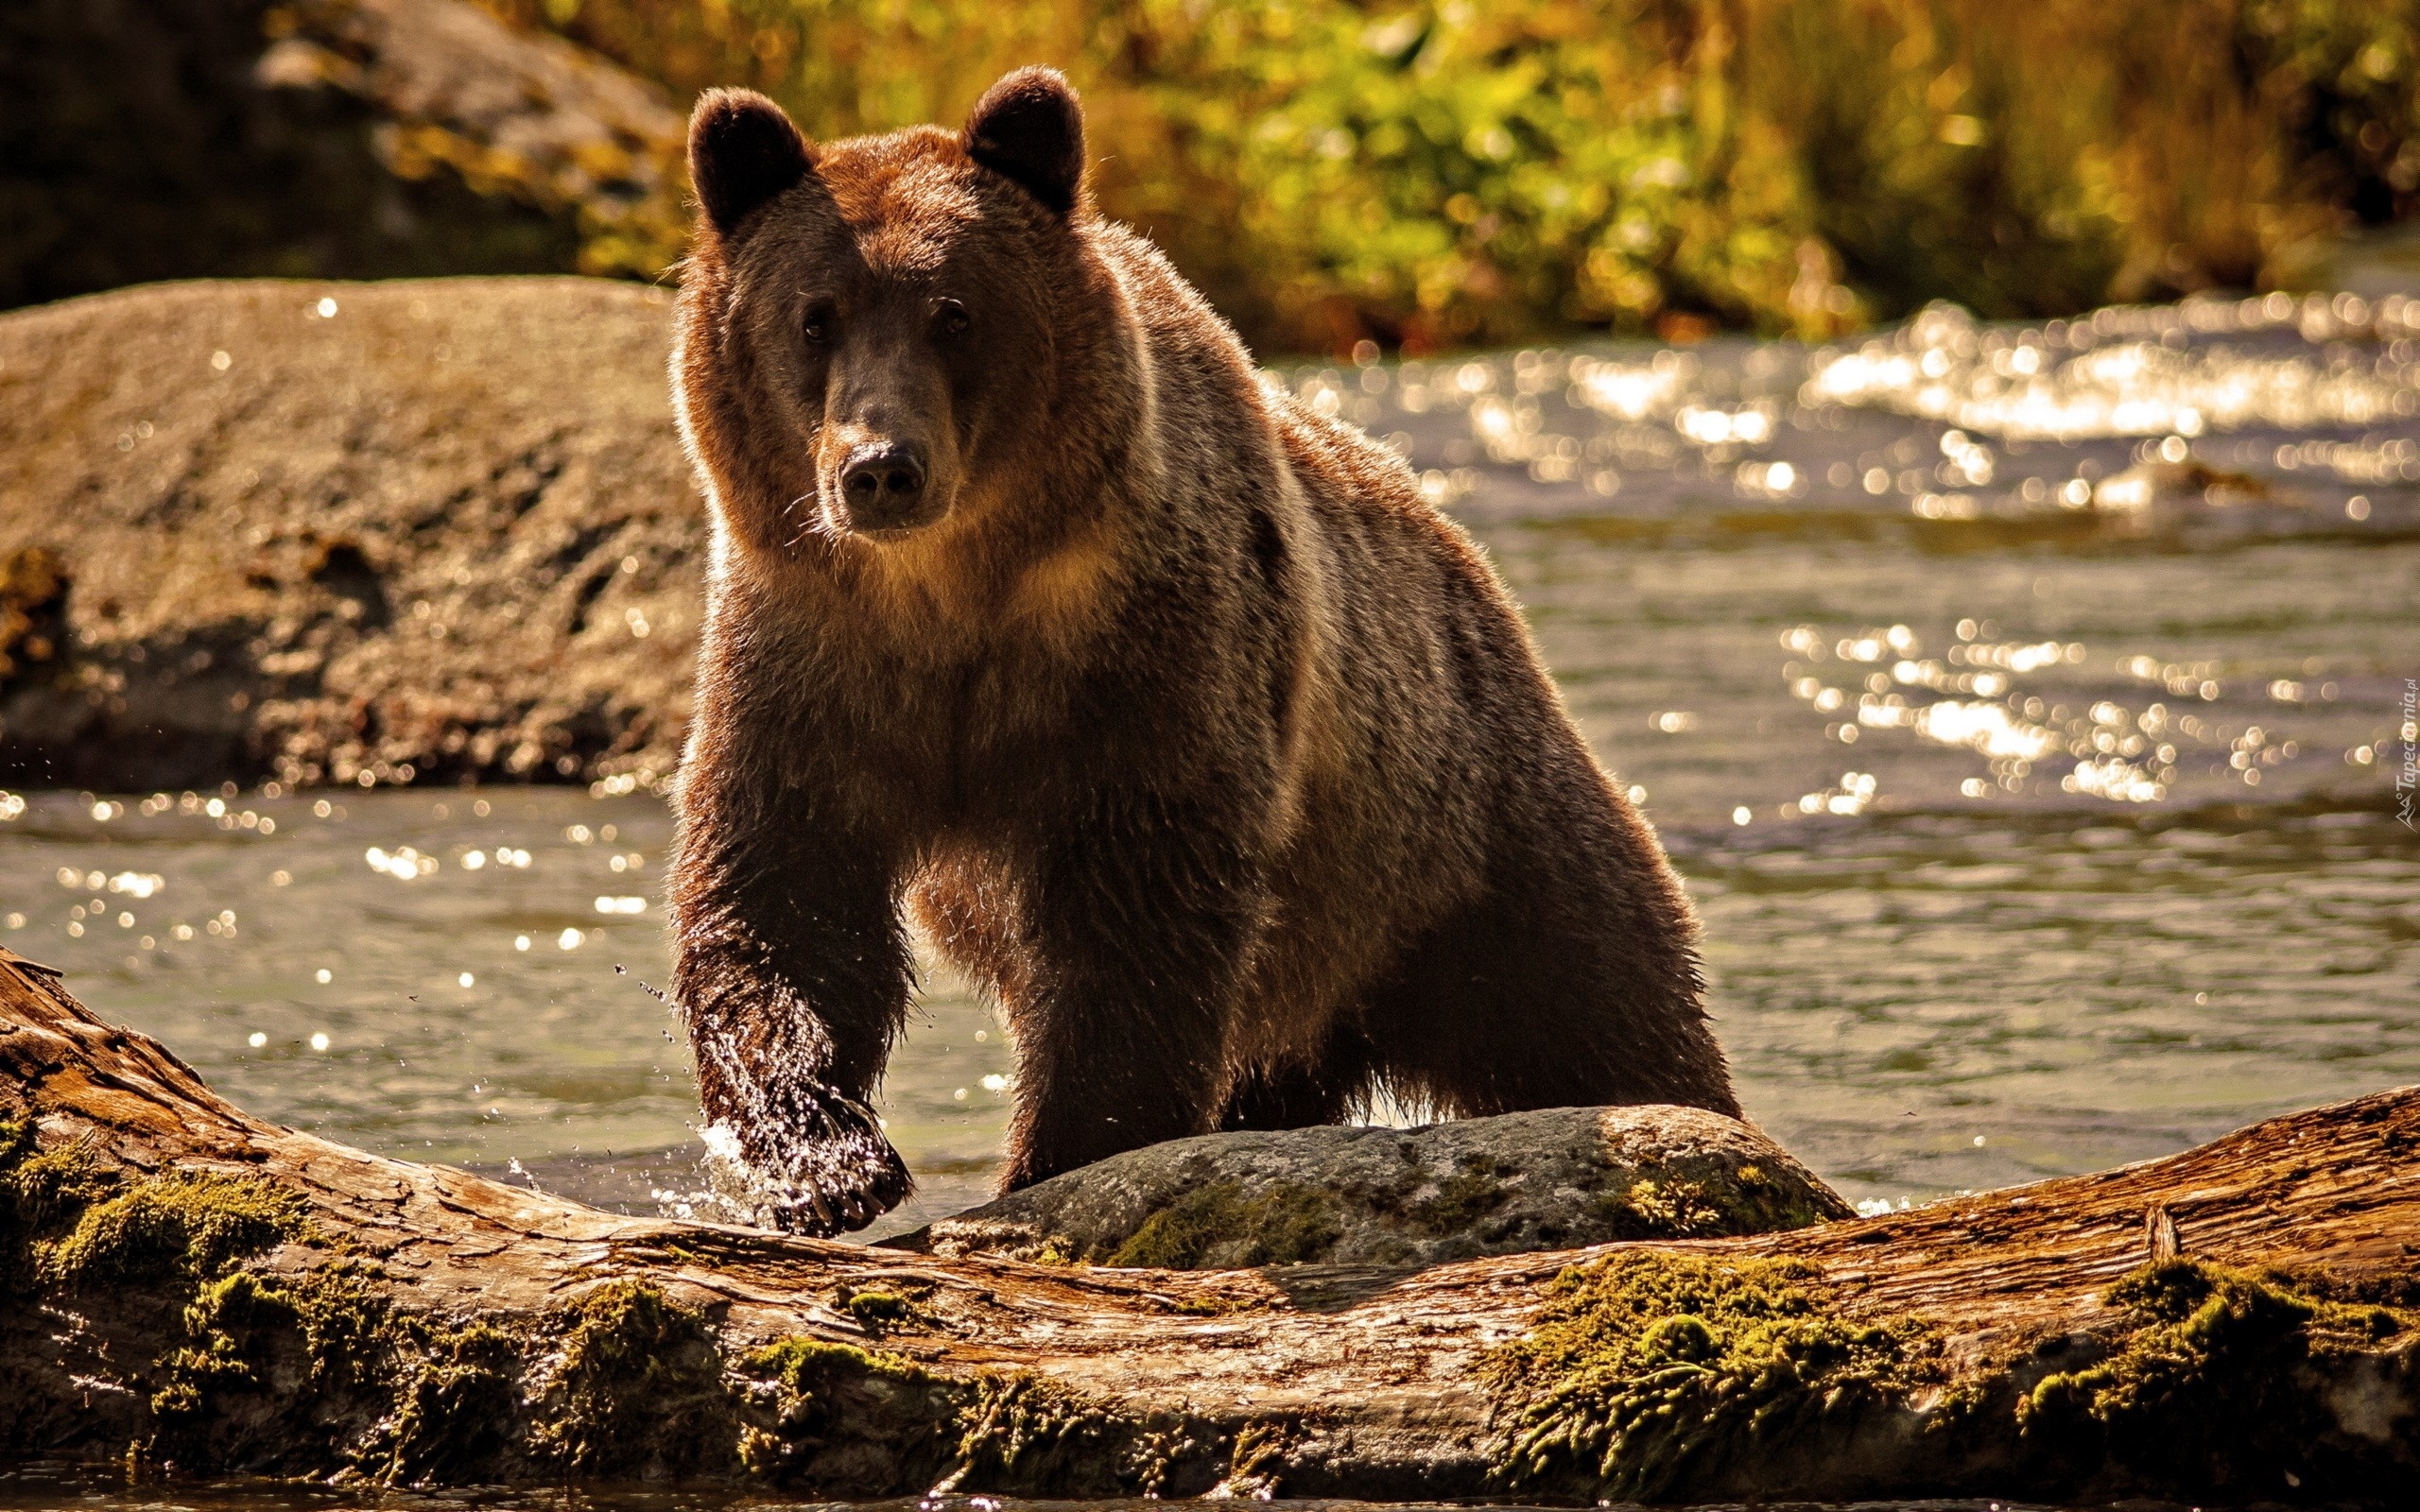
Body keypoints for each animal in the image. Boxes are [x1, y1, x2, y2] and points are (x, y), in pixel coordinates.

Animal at [663, 64, 1742, 1233]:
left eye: (953, 311)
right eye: (813, 316)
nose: (880, 468)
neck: (951, 596)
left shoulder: (1151, 656)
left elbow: (1138, 915)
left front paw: (1060, 1154)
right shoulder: (811, 655)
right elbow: (783, 893)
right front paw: (822, 1160)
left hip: (1461, 835)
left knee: (1597, 1004)